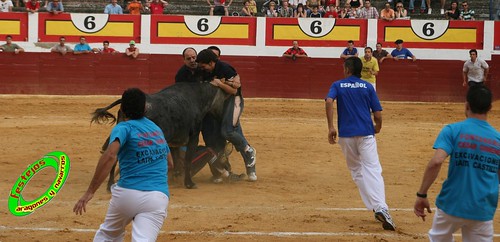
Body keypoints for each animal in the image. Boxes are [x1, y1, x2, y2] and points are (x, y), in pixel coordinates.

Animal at [91, 82, 228, 189]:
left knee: (113, 156)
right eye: (225, 101)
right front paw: (189, 183)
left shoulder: (174, 141)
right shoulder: (193, 136)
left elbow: (176, 158)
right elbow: (187, 159)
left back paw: (110, 184)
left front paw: (176, 176)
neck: (199, 98)